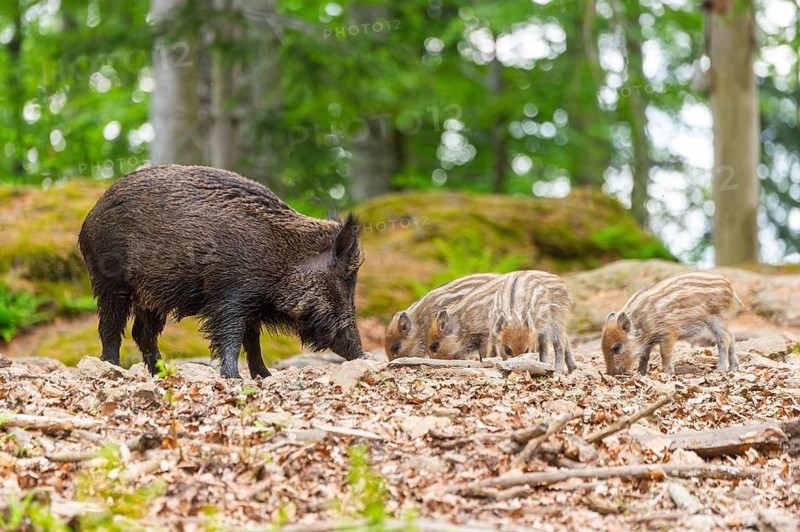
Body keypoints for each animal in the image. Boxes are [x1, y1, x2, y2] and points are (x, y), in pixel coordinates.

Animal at [78, 165, 365, 379]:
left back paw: (163, 375)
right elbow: (232, 336)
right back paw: (113, 368)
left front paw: (265, 376)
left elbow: (252, 341)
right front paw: (234, 378)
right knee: (110, 327)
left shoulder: (252, 305)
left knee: (142, 333)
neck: (284, 256)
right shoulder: (230, 295)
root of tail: (89, 218)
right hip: (110, 282)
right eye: (347, 278)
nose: (361, 353)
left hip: (151, 296)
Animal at [601, 271, 742, 375]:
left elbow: (665, 354)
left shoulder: (668, 333)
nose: (611, 374)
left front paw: (667, 373)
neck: (642, 322)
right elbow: (644, 356)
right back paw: (733, 367)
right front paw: (641, 373)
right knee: (731, 335)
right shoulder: (648, 341)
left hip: (717, 317)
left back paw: (721, 369)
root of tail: (730, 286)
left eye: (616, 347)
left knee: (724, 339)